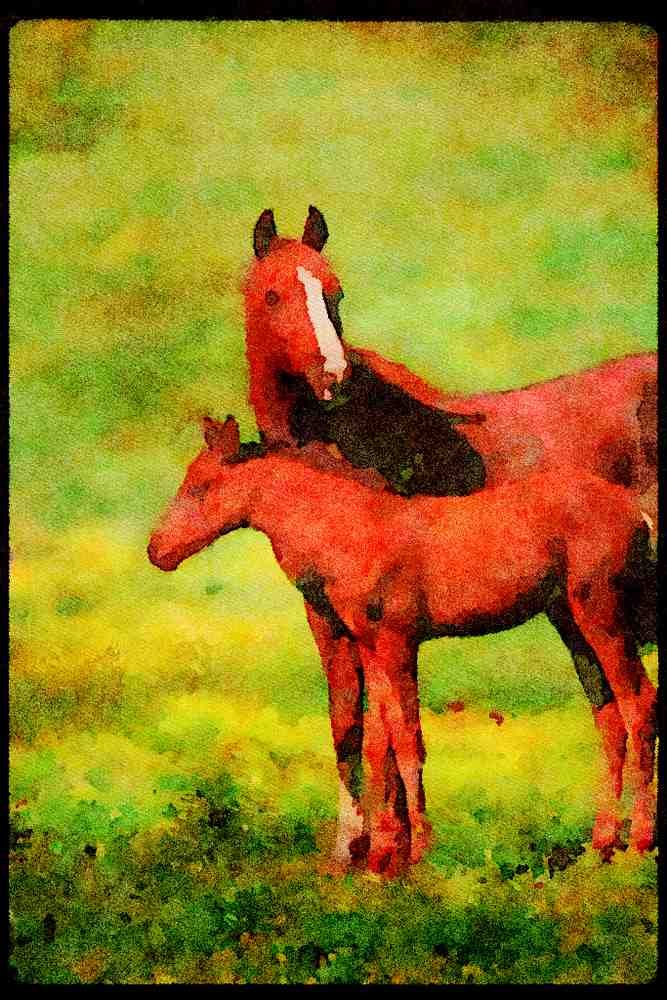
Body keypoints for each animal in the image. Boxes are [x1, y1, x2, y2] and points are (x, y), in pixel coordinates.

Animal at [147, 416, 656, 878]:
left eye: (200, 486)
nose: (157, 551)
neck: (348, 532)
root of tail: (639, 514)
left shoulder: (397, 641)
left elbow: (409, 742)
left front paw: (417, 853)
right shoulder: (370, 644)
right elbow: (379, 742)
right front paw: (381, 857)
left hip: (601, 613)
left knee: (639, 703)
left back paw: (639, 843)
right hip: (569, 621)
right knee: (608, 716)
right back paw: (602, 844)